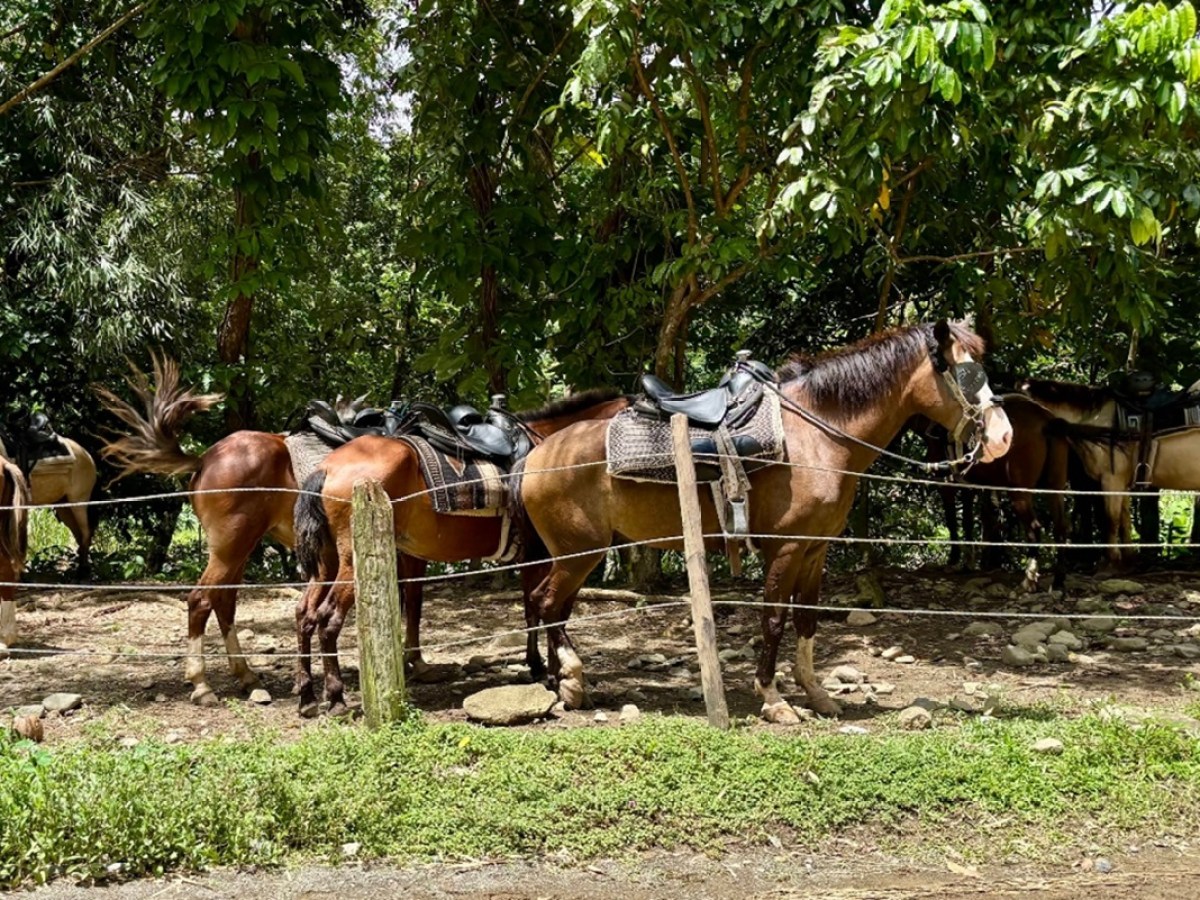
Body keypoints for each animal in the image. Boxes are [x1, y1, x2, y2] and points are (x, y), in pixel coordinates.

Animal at [292, 390, 632, 718]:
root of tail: (327, 467)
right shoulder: (546, 555)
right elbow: (550, 610)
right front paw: (553, 673)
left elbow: (530, 608)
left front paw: (539, 667)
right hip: (351, 565)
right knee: (328, 619)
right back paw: (336, 698)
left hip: (327, 562)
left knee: (305, 613)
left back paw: (307, 695)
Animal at [519, 321, 1012, 723]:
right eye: (966, 373)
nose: (1003, 436)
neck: (819, 436)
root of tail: (539, 452)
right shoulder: (786, 548)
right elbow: (773, 619)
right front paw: (774, 699)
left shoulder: (815, 550)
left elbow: (807, 620)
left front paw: (816, 694)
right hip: (579, 552)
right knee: (546, 604)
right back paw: (570, 682)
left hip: (577, 555)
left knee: (554, 608)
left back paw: (563, 683)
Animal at [920, 394, 1073, 591]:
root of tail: (1046, 420)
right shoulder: (973, 484)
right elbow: (973, 518)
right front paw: (970, 562)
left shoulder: (947, 484)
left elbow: (953, 519)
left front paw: (954, 559)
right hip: (1055, 487)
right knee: (1061, 527)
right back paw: (1058, 581)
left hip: (1019, 493)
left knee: (1034, 528)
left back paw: (1029, 579)